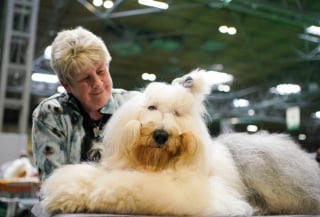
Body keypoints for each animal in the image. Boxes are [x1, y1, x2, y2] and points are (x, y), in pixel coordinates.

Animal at [42, 69, 320, 215]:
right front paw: (67, 195)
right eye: (152, 107)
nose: (161, 135)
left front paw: (102, 193)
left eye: (177, 113)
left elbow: (130, 186)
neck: (154, 163)